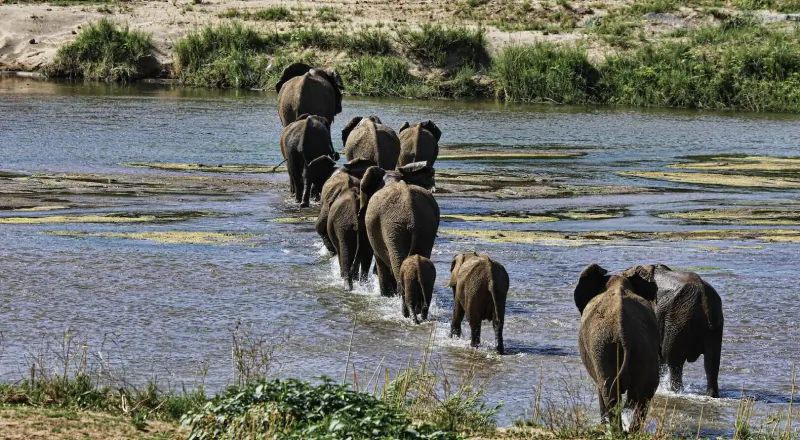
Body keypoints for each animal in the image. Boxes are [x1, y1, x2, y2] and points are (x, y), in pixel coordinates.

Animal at [574, 263, 660, 432]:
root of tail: (623, 332)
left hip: (601, 348)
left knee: (609, 391)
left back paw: (615, 431)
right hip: (642, 347)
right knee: (645, 391)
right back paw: (630, 432)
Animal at [621, 264, 724, 398]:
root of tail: (704, 297)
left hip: (678, 320)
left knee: (673, 360)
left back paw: (675, 391)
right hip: (713, 325)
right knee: (712, 362)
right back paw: (711, 395)